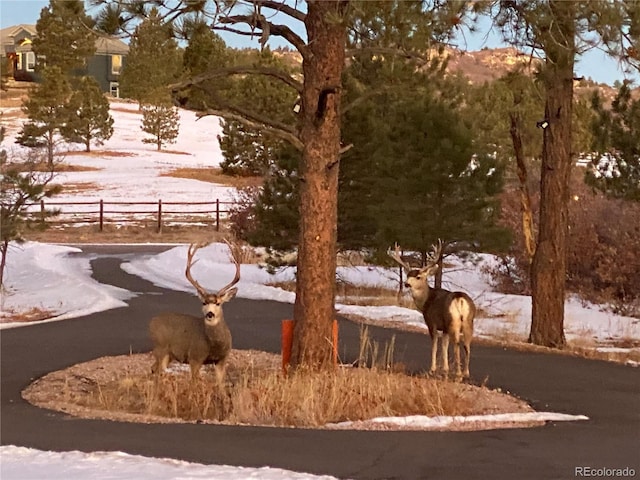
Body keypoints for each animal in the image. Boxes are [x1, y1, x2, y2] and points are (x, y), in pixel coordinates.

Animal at [149, 240, 241, 382]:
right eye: (203, 302)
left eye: (218, 303)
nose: (210, 314)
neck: (214, 345)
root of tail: (152, 321)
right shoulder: (195, 357)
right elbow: (194, 381)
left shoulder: (222, 359)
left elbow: (220, 383)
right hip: (160, 347)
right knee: (159, 370)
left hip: (169, 354)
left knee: (153, 369)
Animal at [390, 242, 476, 380]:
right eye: (408, 275)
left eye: (418, 277)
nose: (407, 284)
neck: (426, 300)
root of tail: (460, 299)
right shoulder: (444, 328)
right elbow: (444, 345)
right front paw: (445, 369)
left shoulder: (432, 322)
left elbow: (435, 344)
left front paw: (433, 369)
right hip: (468, 321)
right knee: (467, 345)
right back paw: (466, 373)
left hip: (453, 321)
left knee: (457, 344)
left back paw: (458, 374)